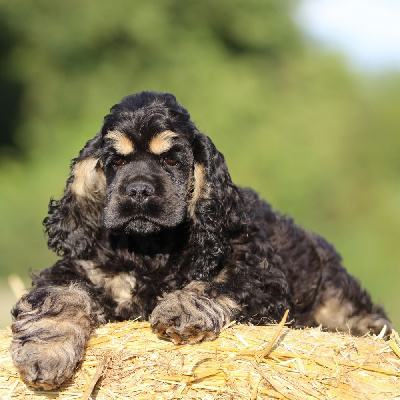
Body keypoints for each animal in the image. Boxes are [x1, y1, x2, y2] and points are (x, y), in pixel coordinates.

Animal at [10, 90, 392, 388]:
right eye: (115, 161)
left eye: (170, 159)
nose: (137, 191)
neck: (150, 248)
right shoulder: (78, 269)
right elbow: (58, 299)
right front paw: (44, 352)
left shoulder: (259, 275)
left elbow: (216, 283)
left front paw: (180, 308)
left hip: (333, 290)